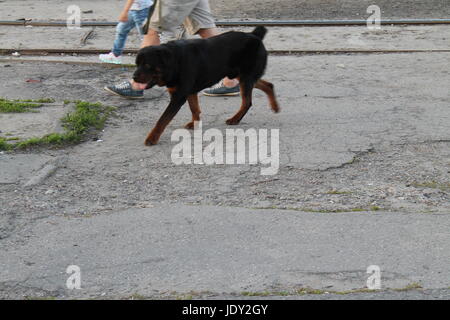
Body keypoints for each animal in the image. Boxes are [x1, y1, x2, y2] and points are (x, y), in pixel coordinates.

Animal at [133, 26, 278, 146]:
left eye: (147, 65)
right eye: (137, 64)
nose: (133, 77)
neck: (174, 61)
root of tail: (254, 35)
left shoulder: (178, 97)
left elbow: (162, 120)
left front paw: (152, 138)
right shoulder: (189, 91)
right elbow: (194, 109)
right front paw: (195, 123)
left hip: (245, 77)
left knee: (247, 101)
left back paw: (235, 119)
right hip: (242, 76)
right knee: (268, 85)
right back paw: (275, 106)